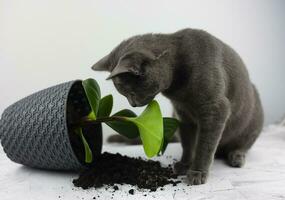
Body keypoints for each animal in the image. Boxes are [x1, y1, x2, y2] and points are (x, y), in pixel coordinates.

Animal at [92, 28, 262, 184]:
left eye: (131, 93)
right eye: (125, 95)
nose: (132, 105)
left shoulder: (215, 108)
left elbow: (204, 145)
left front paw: (197, 172)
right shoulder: (182, 114)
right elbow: (188, 142)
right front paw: (185, 164)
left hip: (252, 123)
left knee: (243, 144)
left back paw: (236, 156)